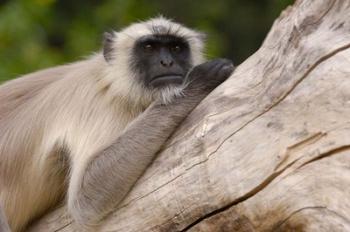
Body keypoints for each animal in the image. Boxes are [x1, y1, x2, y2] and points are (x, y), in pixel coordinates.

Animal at [0, 15, 235, 230]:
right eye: (149, 47)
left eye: (176, 48)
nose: (167, 62)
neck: (113, 81)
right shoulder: (98, 103)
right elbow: (86, 197)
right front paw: (197, 82)